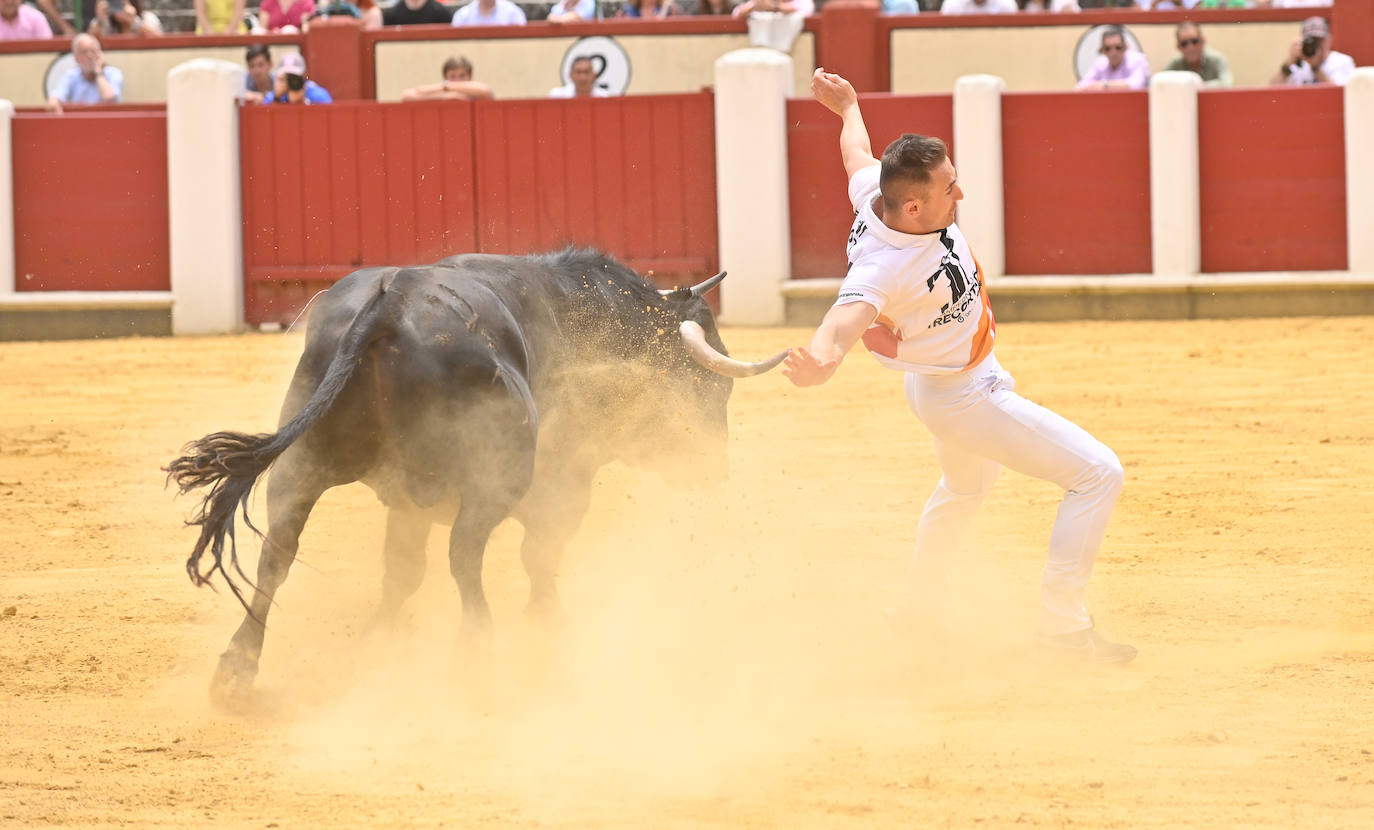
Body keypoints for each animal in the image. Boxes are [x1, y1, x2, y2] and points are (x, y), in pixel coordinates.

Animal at [166, 247, 785, 700]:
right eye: (710, 385)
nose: (712, 470)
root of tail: (389, 306)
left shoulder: (409, 502)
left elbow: (402, 573)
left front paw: (376, 641)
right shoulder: (564, 484)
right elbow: (539, 556)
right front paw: (547, 624)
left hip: (301, 464)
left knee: (278, 554)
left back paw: (237, 669)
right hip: (497, 475)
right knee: (465, 551)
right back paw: (480, 650)